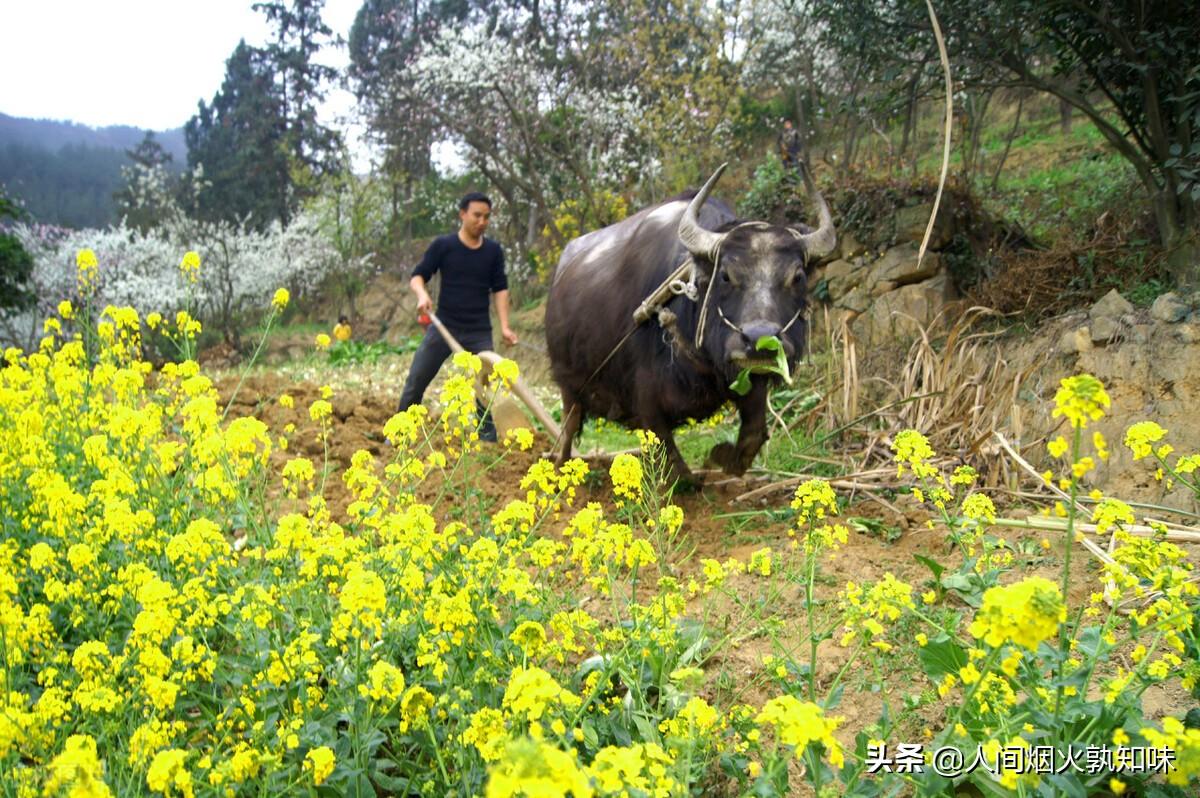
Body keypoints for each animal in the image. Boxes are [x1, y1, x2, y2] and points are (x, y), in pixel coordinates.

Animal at [544, 162, 835, 480]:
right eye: (725, 276)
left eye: (798, 277)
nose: (760, 339)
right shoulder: (645, 395)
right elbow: (670, 456)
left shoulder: (747, 378)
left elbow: (754, 433)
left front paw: (720, 456)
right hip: (568, 383)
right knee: (569, 425)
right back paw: (559, 466)